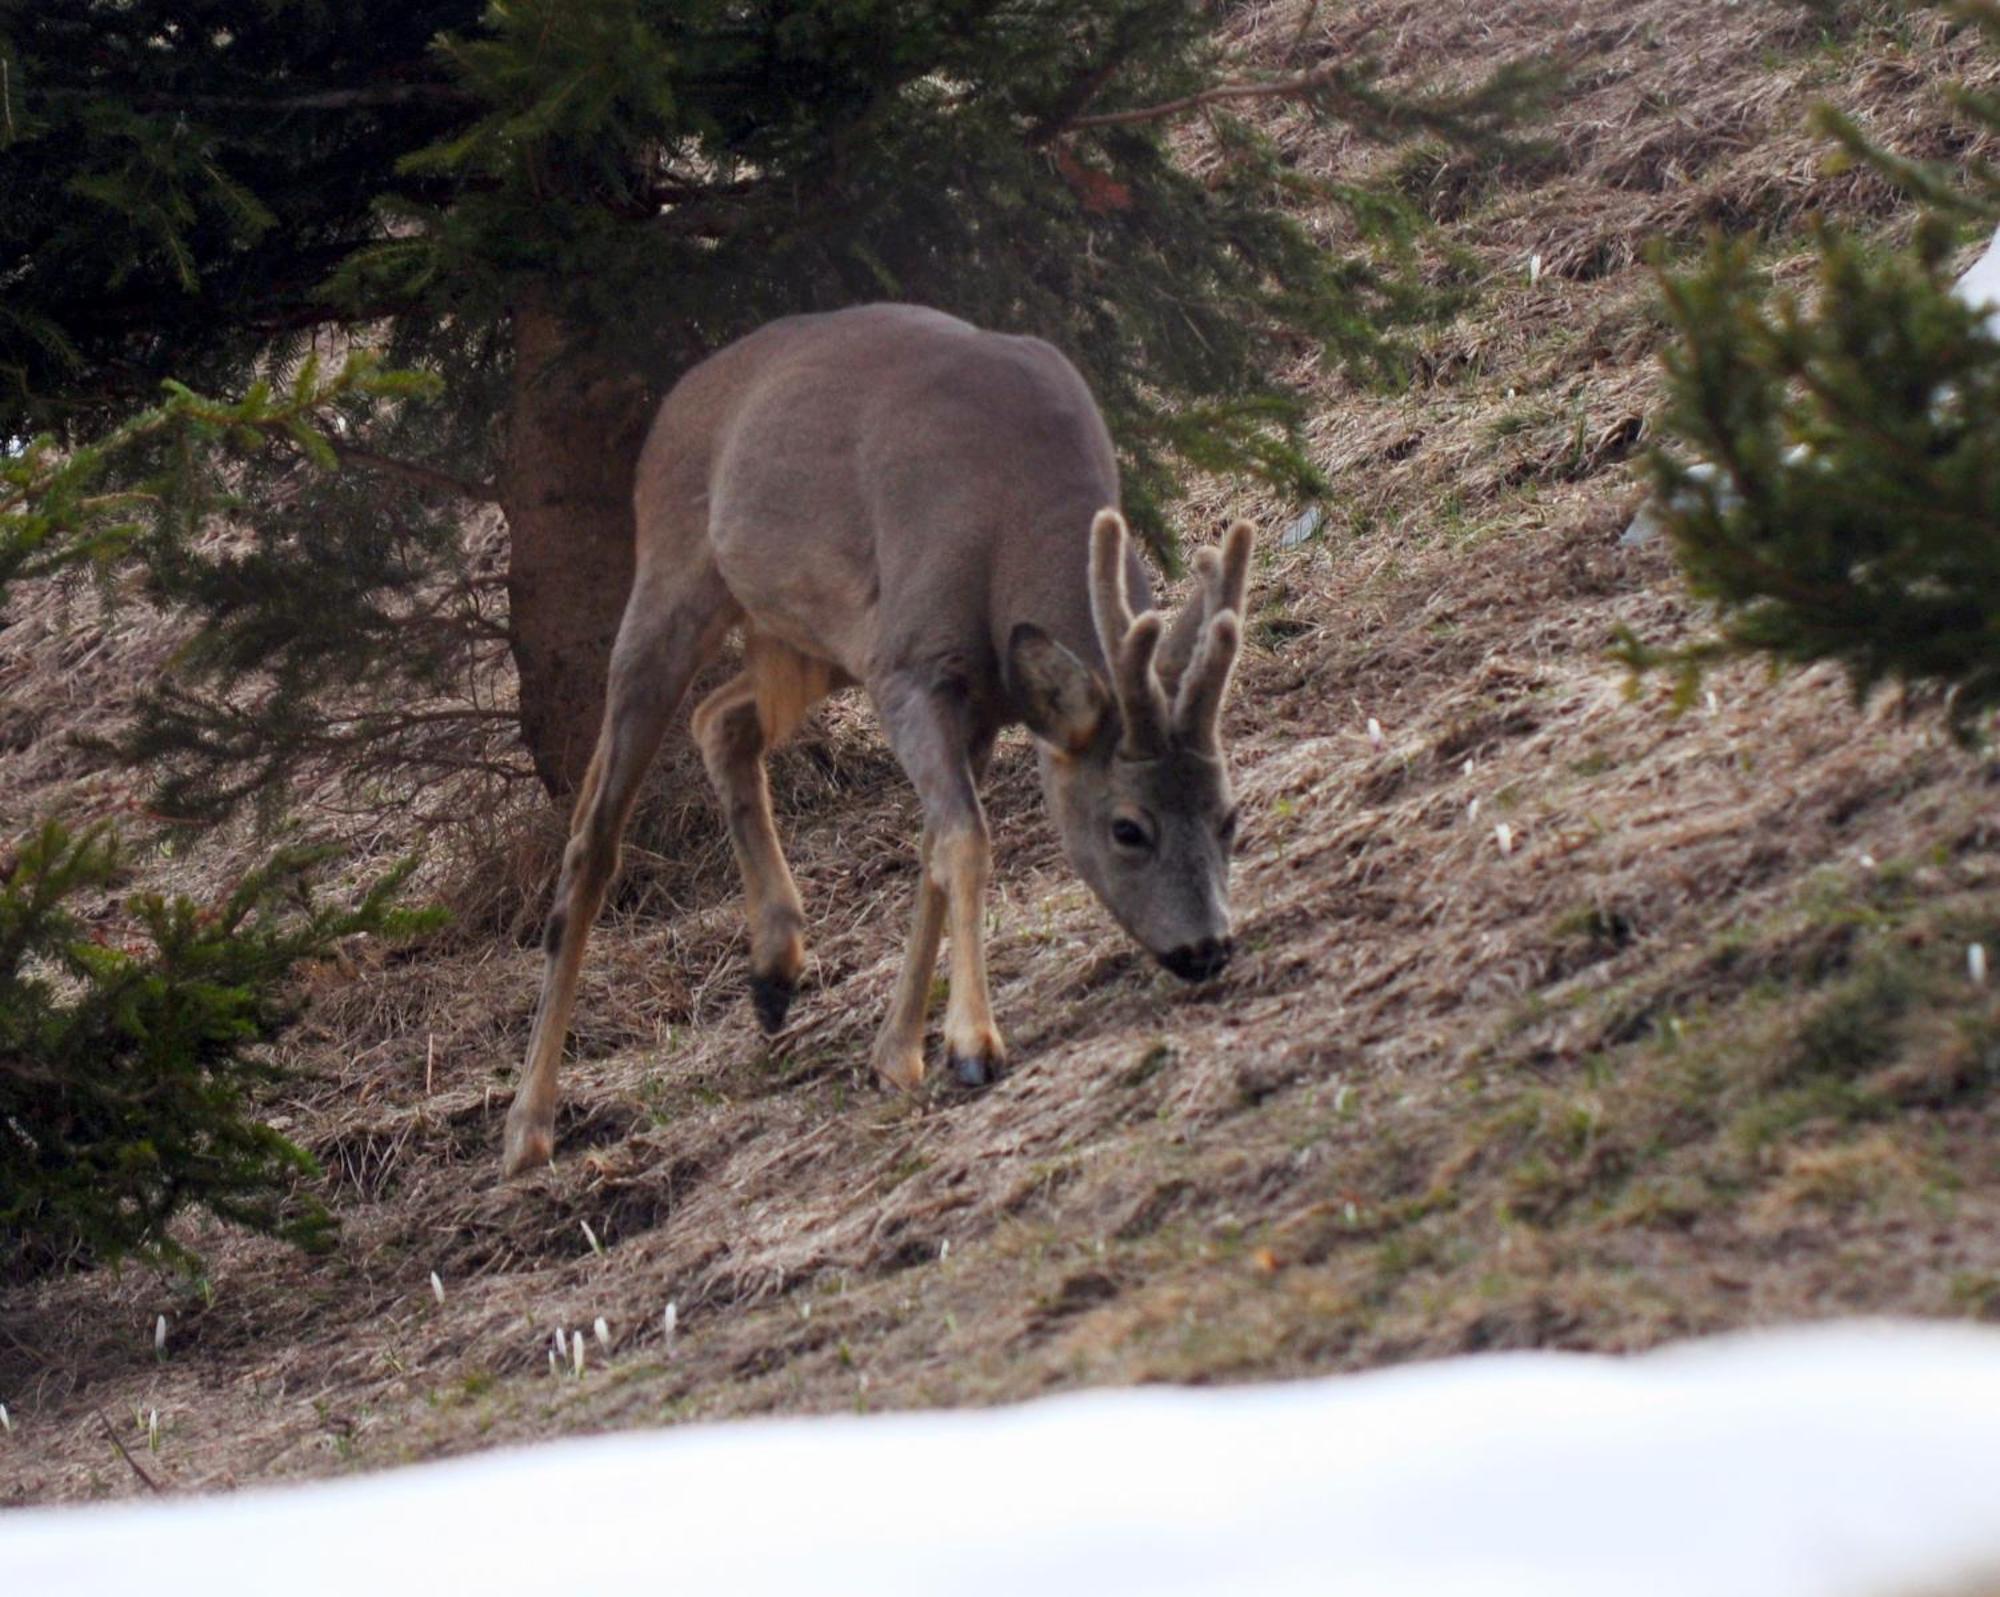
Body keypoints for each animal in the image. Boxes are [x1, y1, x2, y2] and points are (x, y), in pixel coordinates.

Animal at [504, 304, 1248, 1176]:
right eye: (1128, 827)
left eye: (1229, 815)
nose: (1208, 946)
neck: (1013, 521)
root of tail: (675, 402)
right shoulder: (913, 664)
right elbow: (966, 839)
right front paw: (972, 1045)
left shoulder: (978, 699)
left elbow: (934, 848)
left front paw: (898, 1051)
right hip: (674, 576)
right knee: (594, 835)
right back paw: (528, 1124)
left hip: (815, 641)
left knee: (719, 719)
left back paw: (776, 967)